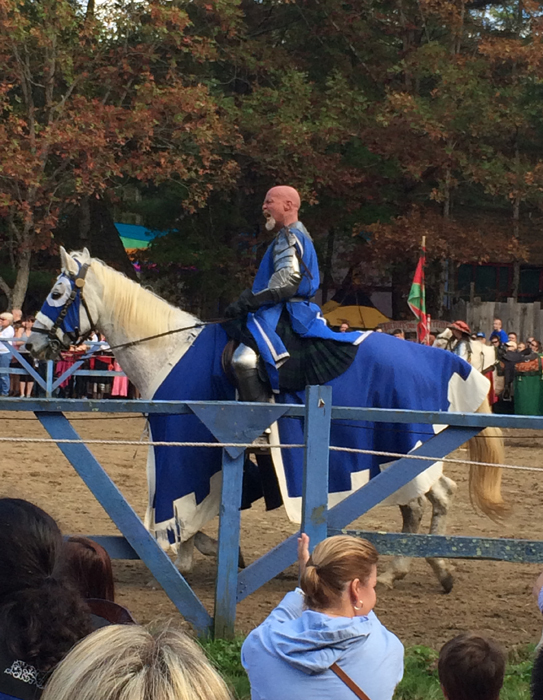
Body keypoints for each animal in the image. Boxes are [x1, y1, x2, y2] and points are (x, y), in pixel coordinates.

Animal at [27, 249, 508, 588]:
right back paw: (427, 567)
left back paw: (413, 568)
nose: (32, 344)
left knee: (428, 501)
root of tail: (450, 363)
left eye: (56, 294)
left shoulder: (182, 446)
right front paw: (208, 551)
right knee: (431, 501)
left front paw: (182, 557)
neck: (169, 349)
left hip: (399, 451)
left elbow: (178, 511)